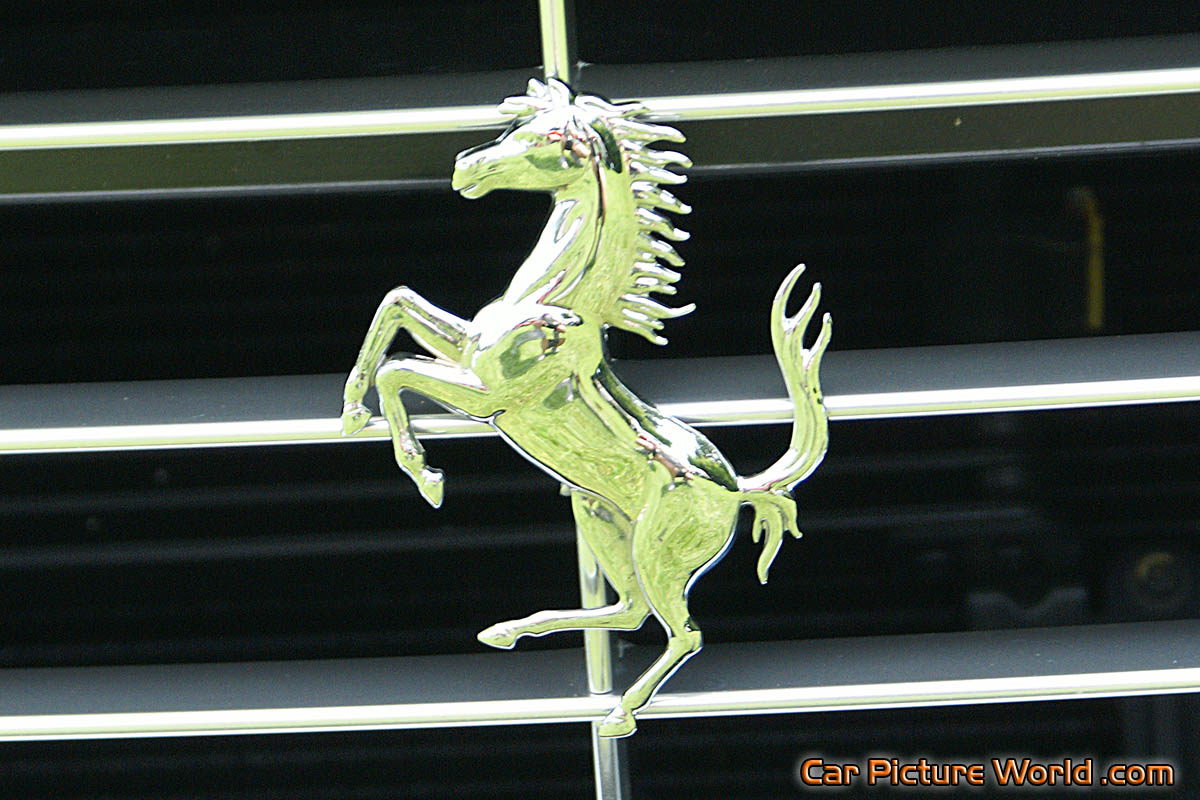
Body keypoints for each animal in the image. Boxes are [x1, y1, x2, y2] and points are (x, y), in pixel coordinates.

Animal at [341, 78, 831, 737]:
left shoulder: (490, 397)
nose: (464, 166)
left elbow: (398, 370)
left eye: (546, 138)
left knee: (684, 633)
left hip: (660, 550)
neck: (559, 299)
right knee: (629, 610)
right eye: (514, 126)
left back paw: (618, 713)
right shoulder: (467, 350)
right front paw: (350, 409)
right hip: (599, 515)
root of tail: (738, 488)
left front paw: (427, 477)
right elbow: (396, 302)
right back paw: (510, 631)